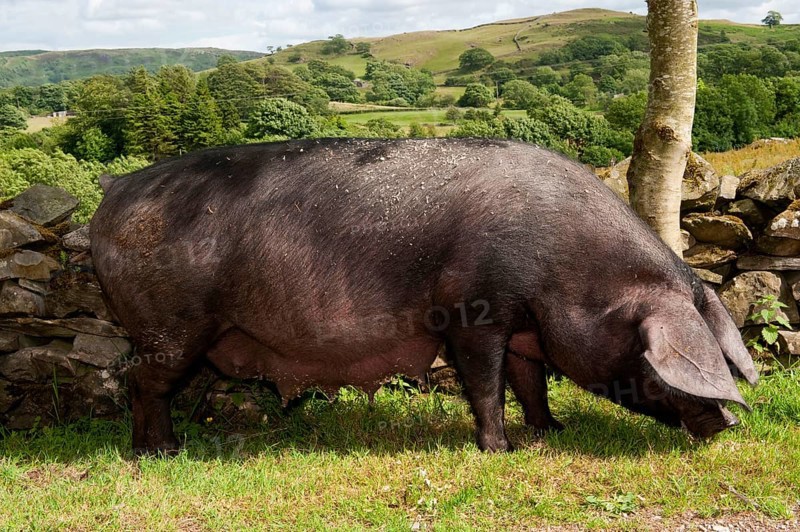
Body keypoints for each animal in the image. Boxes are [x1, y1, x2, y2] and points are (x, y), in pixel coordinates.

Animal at [90, 138, 758, 454]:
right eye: (652, 361)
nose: (725, 422)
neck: (571, 274)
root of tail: (115, 188)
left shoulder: (524, 325)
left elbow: (529, 380)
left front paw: (552, 431)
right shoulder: (471, 311)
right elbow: (486, 384)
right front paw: (501, 450)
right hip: (171, 324)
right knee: (141, 382)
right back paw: (160, 452)